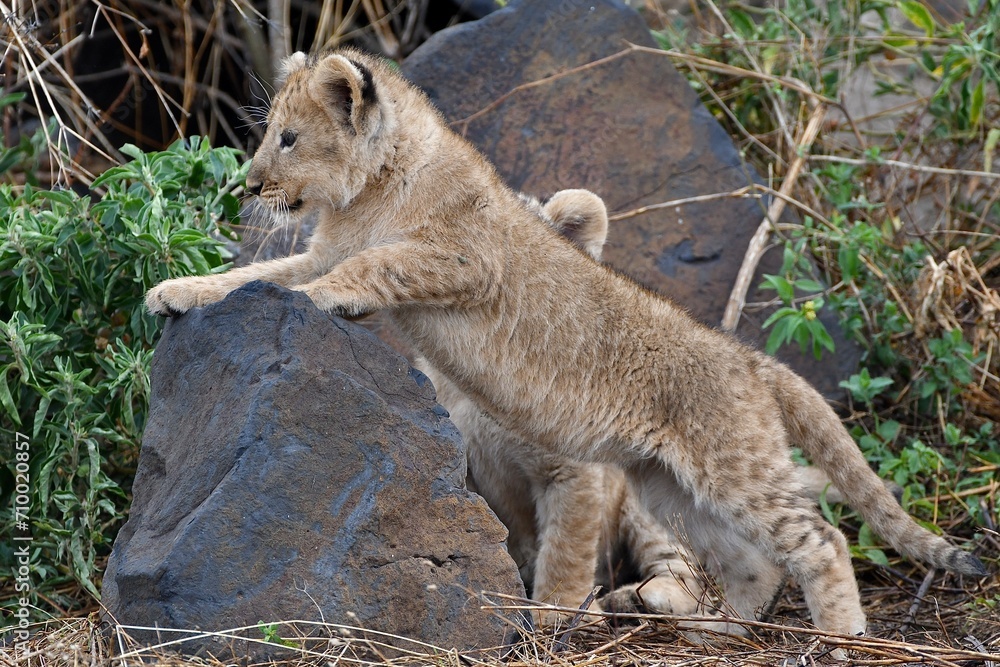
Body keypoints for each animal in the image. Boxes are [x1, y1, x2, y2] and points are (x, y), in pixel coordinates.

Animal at [146, 49, 986, 645]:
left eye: (287, 138)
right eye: (267, 134)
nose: (249, 188)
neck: (372, 192)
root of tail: (752, 360)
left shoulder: (464, 261)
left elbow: (369, 267)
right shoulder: (327, 247)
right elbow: (257, 272)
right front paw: (176, 291)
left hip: (729, 466)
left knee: (820, 542)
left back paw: (842, 640)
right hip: (669, 484)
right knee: (751, 561)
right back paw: (715, 632)